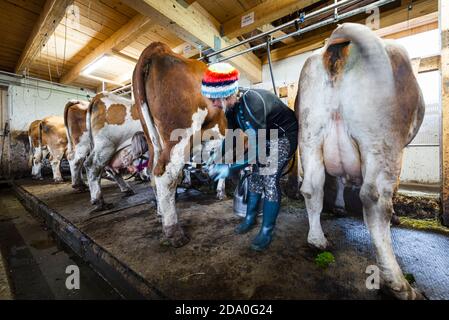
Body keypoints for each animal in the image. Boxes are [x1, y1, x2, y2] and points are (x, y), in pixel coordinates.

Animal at [131, 42, 226, 248]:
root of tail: (158, 48)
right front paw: (221, 191)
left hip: (153, 139)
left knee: (152, 170)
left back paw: (160, 213)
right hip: (179, 134)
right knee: (166, 174)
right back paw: (173, 231)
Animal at [296, 23, 426, 300]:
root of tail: (338, 44)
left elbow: (339, 181)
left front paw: (339, 206)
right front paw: (396, 217)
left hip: (310, 135)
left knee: (311, 188)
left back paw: (317, 241)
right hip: (382, 140)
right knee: (375, 200)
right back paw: (399, 284)